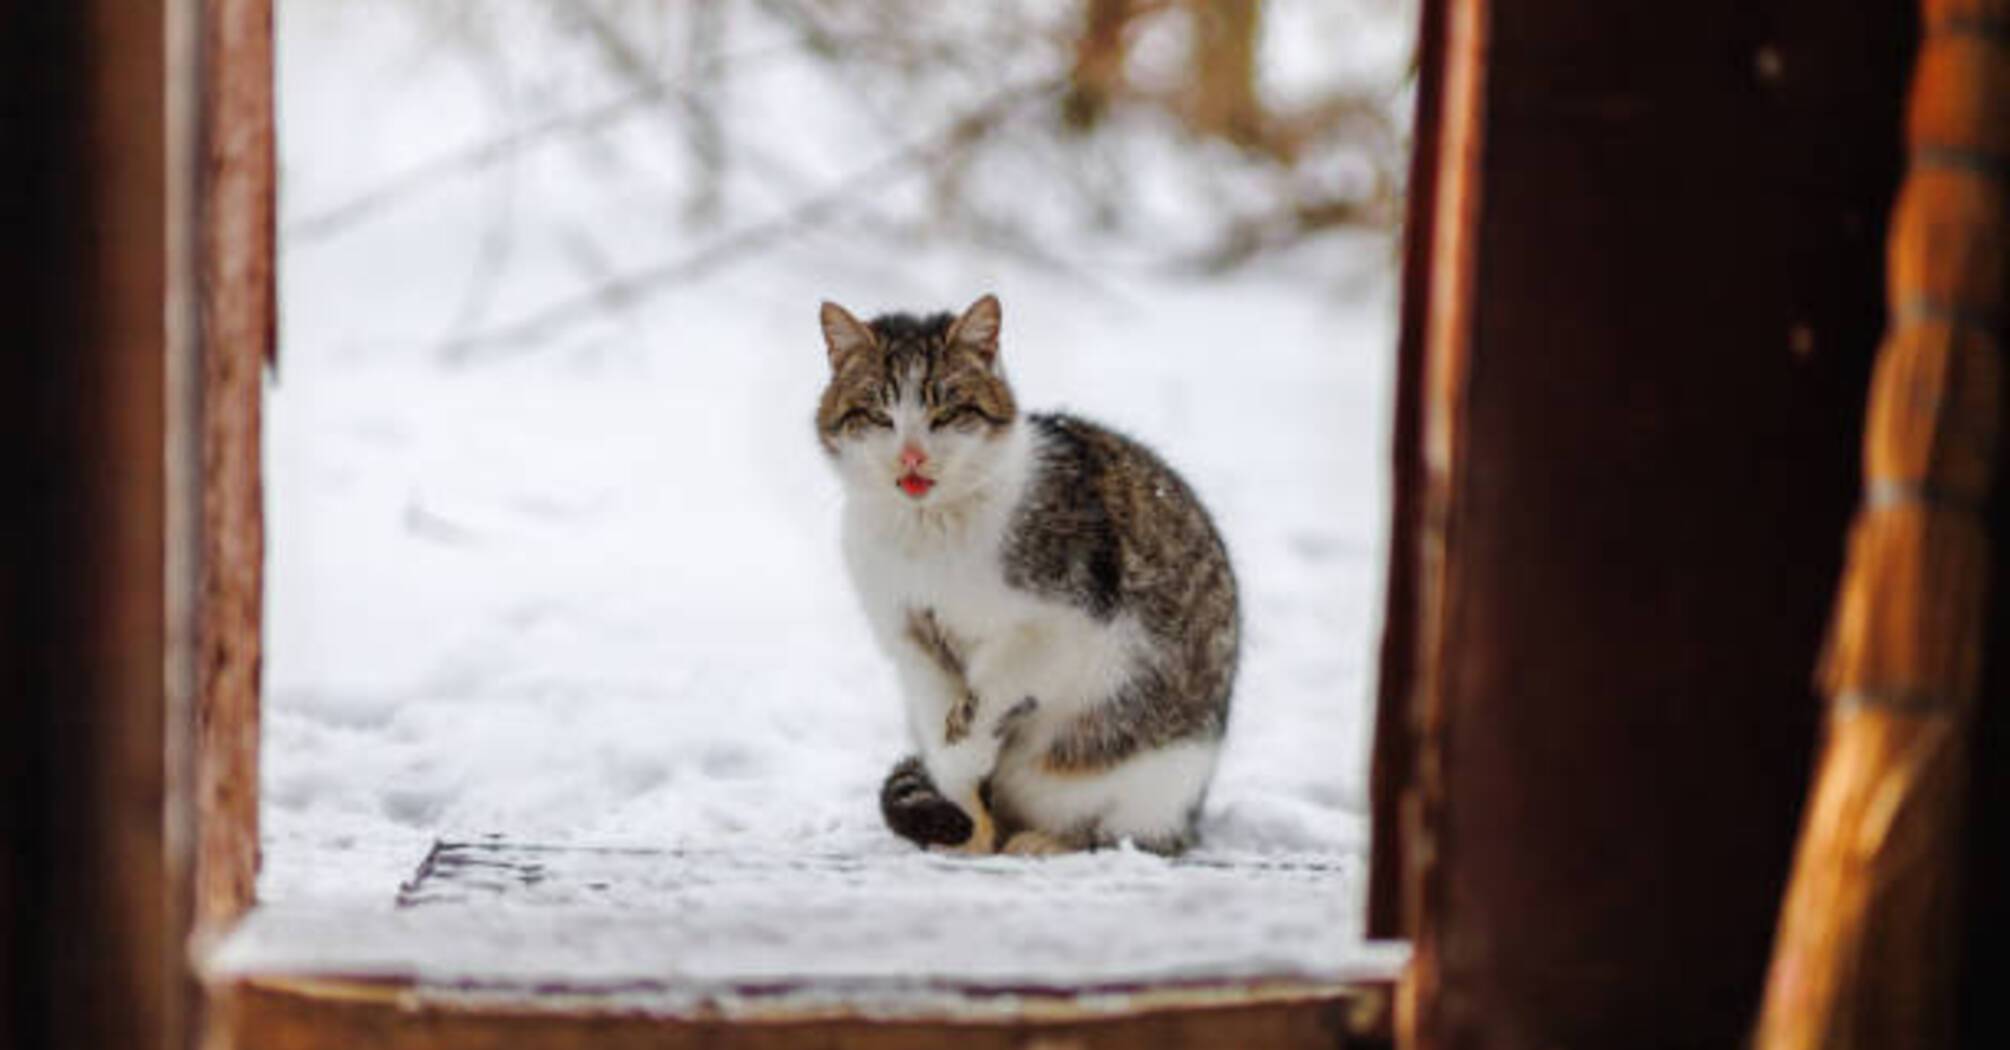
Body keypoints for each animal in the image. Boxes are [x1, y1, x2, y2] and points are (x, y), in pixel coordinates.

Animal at [820, 291, 1238, 848]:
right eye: (877, 414)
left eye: (947, 411)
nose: (911, 457)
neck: (928, 534)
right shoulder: (908, 634)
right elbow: (941, 728)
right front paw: (968, 821)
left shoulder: (1070, 620)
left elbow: (991, 690)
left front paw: (971, 748)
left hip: (1152, 773)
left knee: (1130, 833)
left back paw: (1047, 842)